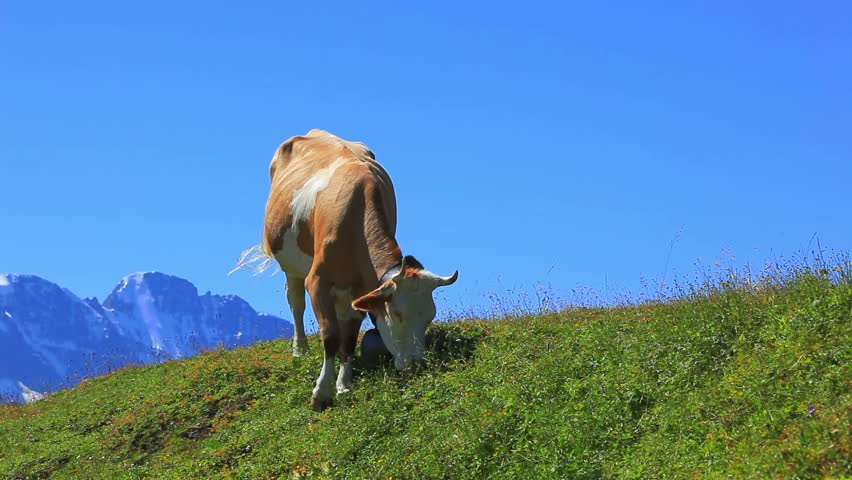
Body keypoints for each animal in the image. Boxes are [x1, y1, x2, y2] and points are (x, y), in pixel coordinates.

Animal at [235, 129, 458, 410]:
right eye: (397, 314)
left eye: (430, 316)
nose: (416, 364)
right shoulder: (317, 281)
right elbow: (330, 335)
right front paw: (321, 392)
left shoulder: (361, 289)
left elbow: (349, 338)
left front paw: (344, 385)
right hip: (291, 264)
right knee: (296, 302)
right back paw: (300, 349)